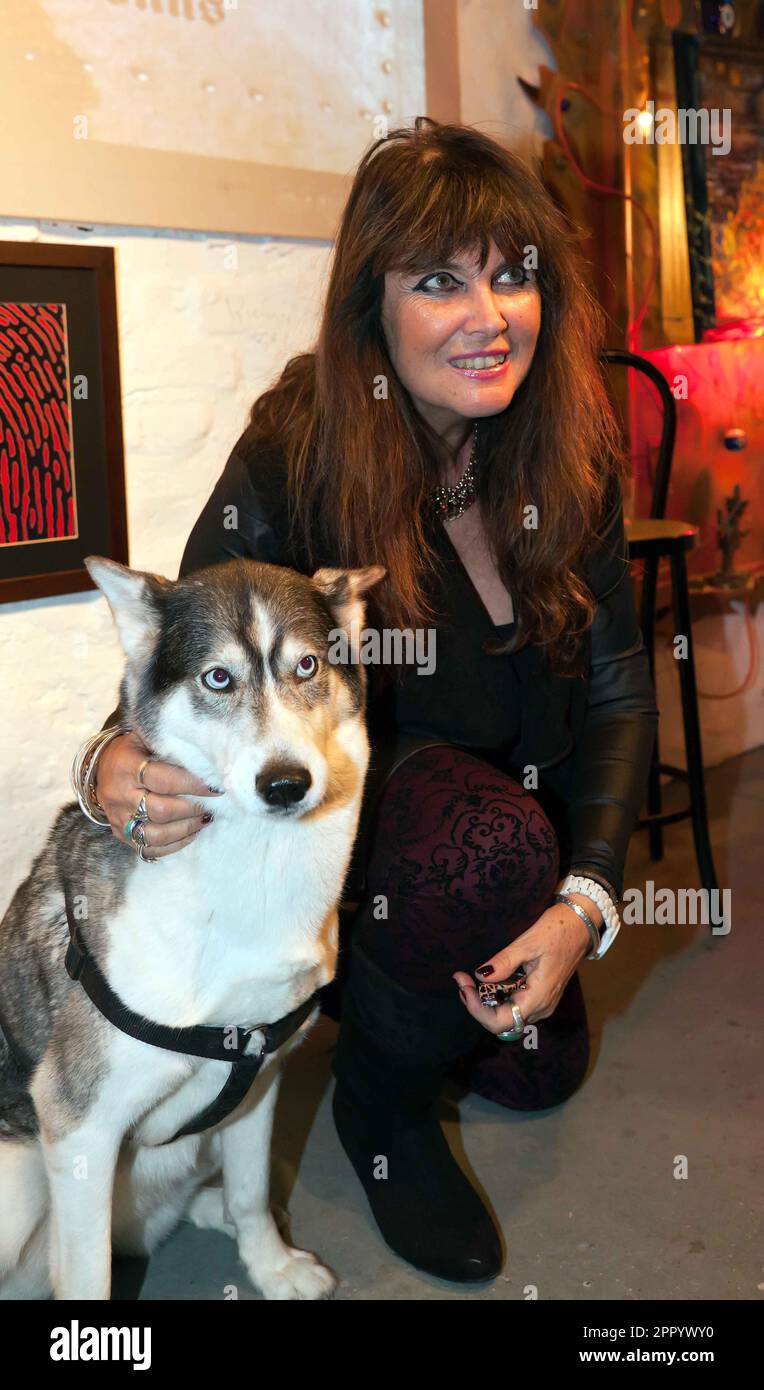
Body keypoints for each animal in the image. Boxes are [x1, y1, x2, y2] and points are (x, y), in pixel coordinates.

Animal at [0, 556, 383, 1301]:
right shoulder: (79, 1124)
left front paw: (270, 1265)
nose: (285, 784)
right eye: (218, 678)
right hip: (20, 1181)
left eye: (306, 665)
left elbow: (252, 1192)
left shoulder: (260, 1079)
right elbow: (87, 1276)